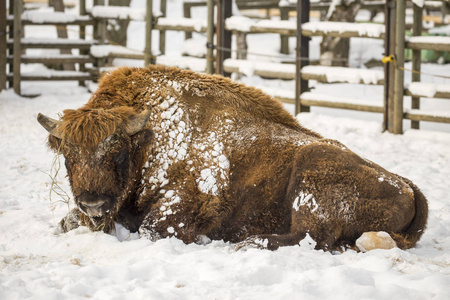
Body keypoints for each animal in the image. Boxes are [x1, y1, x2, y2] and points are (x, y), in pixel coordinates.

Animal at [37, 65, 428, 251]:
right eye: (68, 154)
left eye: (117, 150)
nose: (93, 203)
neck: (148, 138)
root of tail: (409, 187)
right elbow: (64, 223)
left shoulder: (178, 213)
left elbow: (150, 229)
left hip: (311, 184)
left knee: (311, 237)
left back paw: (245, 244)